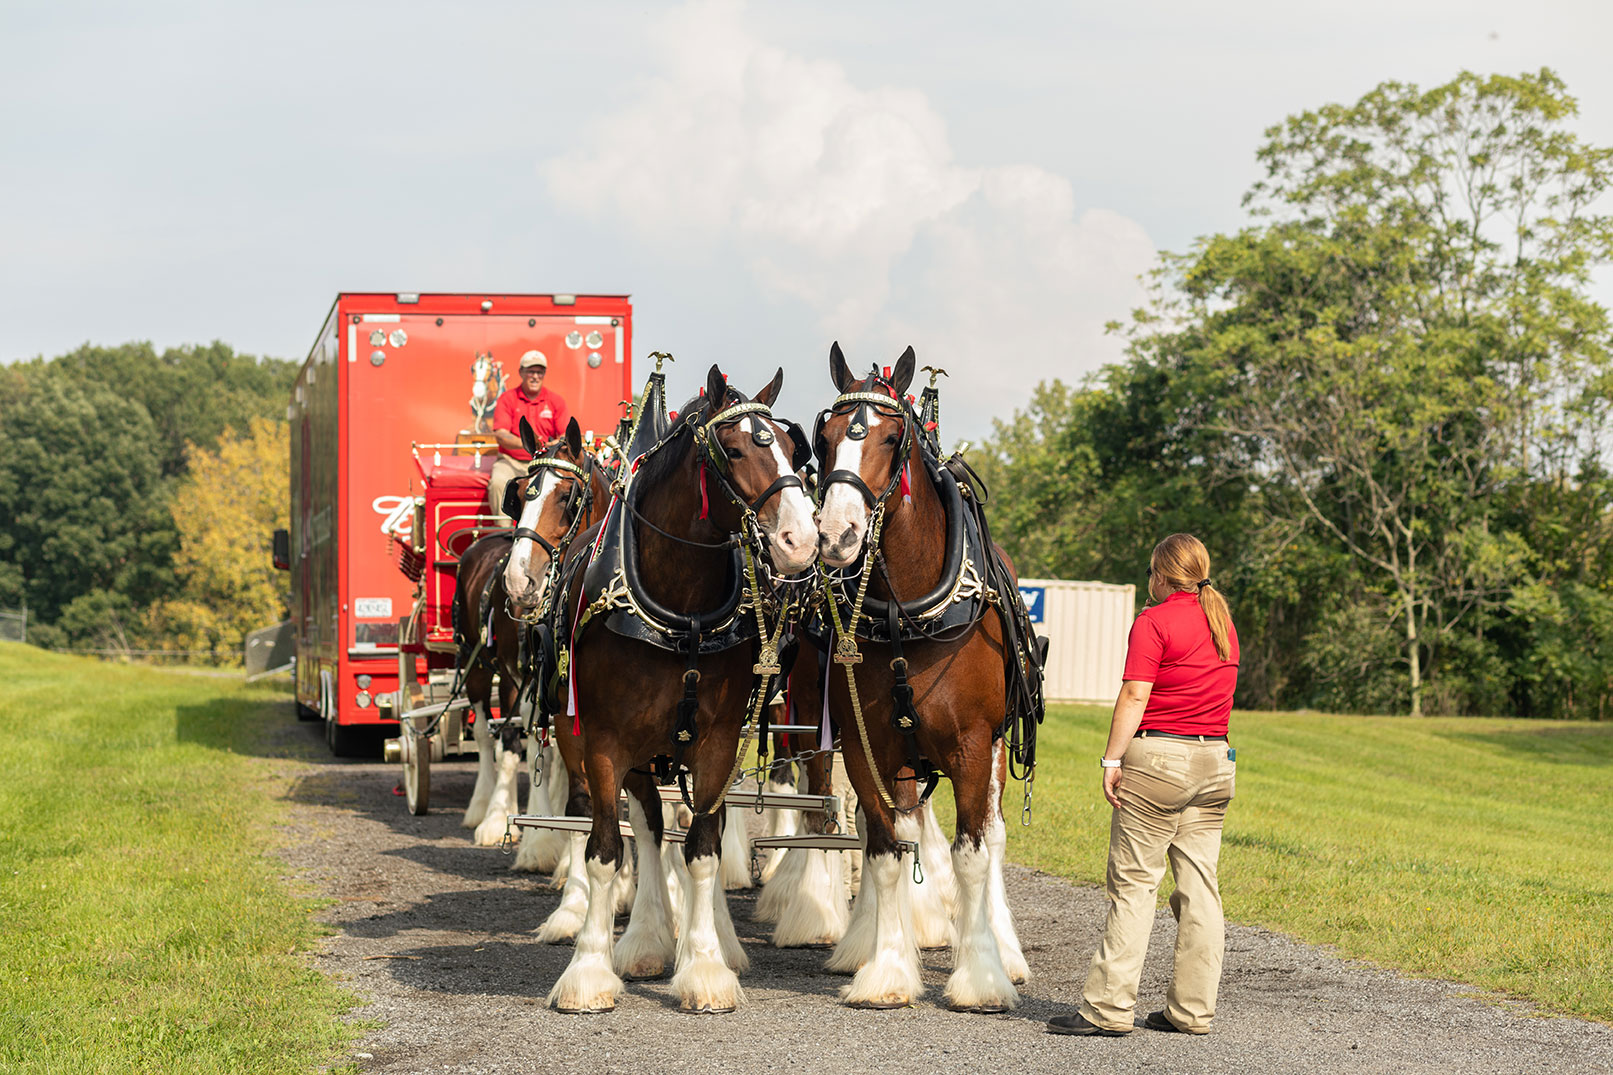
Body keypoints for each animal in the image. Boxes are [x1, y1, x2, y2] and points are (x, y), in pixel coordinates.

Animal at [548, 364, 819, 1007]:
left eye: (793, 446)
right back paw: (645, 938)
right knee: (645, 829)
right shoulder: (604, 744)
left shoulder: (716, 742)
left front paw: (704, 966)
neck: (681, 610)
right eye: (735, 448)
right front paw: (588, 970)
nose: (802, 541)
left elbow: (701, 850)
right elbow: (605, 852)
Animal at [806, 345, 1032, 1013]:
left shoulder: (971, 746)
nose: (836, 535)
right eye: (823, 437)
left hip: (996, 748)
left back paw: (1006, 951)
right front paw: (885, 969)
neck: (905, 614)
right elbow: (884, 850)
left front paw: (981, 976)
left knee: (995, 835)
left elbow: (973, 854)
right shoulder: (867, 747)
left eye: (889, 438)